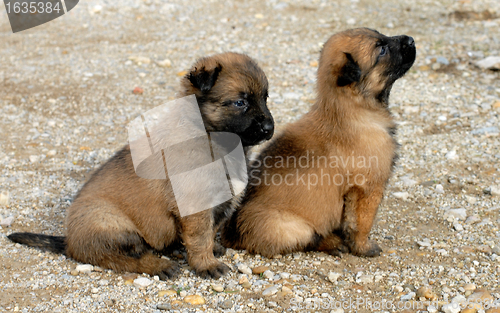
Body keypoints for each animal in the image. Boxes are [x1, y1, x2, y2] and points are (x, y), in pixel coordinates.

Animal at [7, 52, 274, 280]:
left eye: (265, 97)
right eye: (240, 102)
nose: (269, 128)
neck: (208, 135)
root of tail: (70, 241)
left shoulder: (221, 202)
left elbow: (211, 229)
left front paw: (213, 250)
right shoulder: (195, 206)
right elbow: (199, 238)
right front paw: (206, 264)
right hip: (110, 223)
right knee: (120, 259)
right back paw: (160, 265)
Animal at [222, 28, 414, 258]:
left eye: (382, 35)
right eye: (382, 49)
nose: (411, 39)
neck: (353, 111)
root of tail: (231, 233)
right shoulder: (368, 188)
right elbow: (362, 223)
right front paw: (364, 247)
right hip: (291, 226)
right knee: (311, 239)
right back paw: (333, 242)